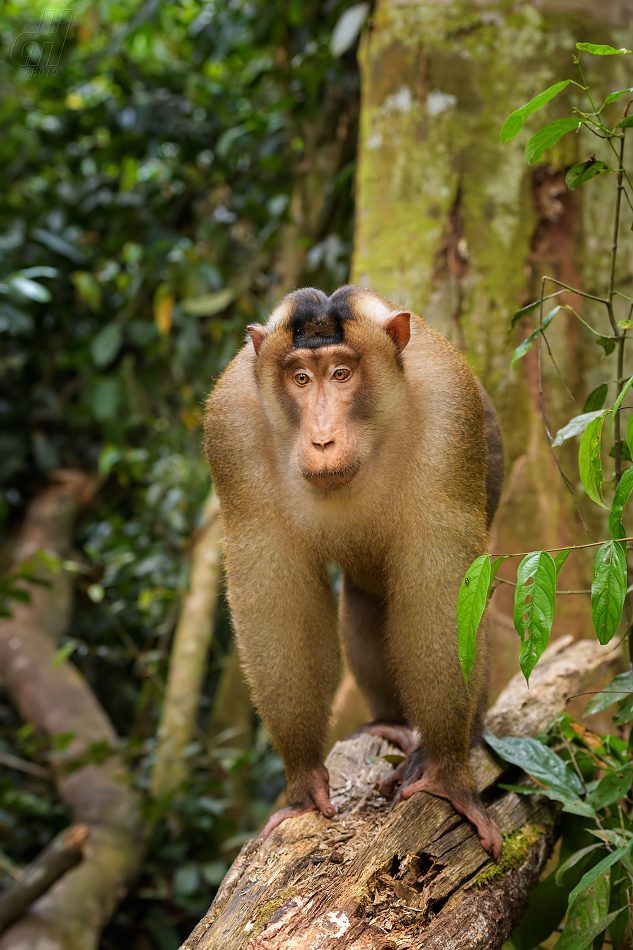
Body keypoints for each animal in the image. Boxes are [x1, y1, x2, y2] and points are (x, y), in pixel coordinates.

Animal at [205, 282, 506, 864]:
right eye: (301, 378)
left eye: (341, 373)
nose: (322, 440)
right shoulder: (230, 427)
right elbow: (277, 599)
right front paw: (302, 781)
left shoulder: (450, 411)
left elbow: (443, 592)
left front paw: (448, 774)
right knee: (368, 597)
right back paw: (390, 721)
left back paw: (452, 742)